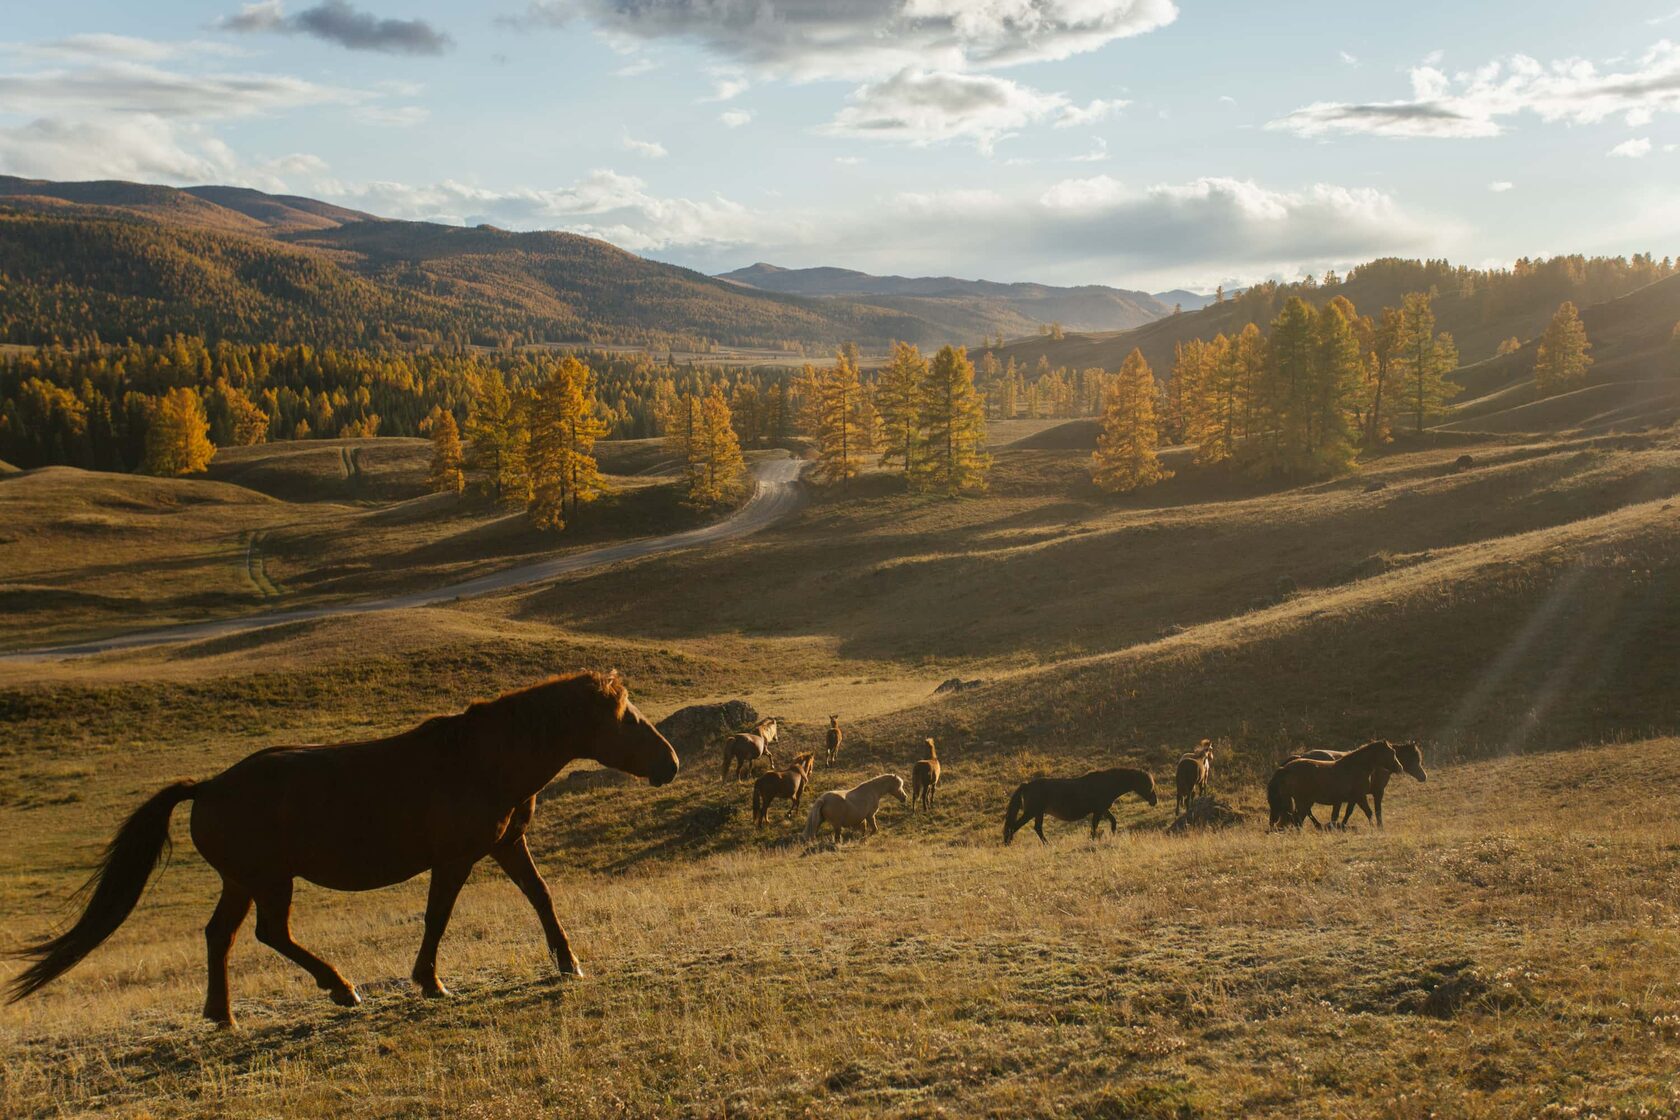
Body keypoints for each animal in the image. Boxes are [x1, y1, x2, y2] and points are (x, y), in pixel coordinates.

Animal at [8, 671, 675, 1027]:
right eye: (629, 718)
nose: (668, 763)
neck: (480, 761)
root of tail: (211, 785)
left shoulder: (507, 845)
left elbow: (542, 898)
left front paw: (569, 962)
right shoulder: (455, 858)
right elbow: (438, 917)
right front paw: (430, 982)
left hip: (244, 881)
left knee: (222, 936)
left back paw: (225, 1014)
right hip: (268, 879)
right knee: (268, 934)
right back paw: (340, 987)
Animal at [1001, 765, 1162, 846]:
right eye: (1148, 784)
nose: (1154, 801)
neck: (1107, 783)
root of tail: (1026, 785)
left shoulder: (1103, 809)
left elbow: (1113, 822)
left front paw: (1112, 836)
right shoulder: (1098, 811)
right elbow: (1094, 826)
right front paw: (1092, 840)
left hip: (1038, 813)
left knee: (1037, 828)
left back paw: (1047, 844)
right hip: (1032, 812)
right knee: (1015, 827)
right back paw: (1009, 843)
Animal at [1270, 738, 1404, 829]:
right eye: (1392, 753)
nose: (1400, 768)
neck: (1354, 768)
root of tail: (1286, 768)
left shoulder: (1350, 799)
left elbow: (1344, 814)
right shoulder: (1360, 796)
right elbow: (1369, 812)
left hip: (1304, 801)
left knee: (1298, 818)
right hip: (1302, 800)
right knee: (1298, 818)